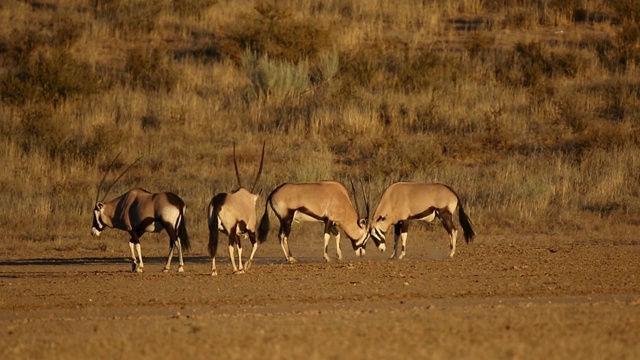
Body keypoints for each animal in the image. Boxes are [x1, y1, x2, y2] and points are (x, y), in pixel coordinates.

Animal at [208, 141, 262, 276]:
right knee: (230, 247)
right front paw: (245, 267)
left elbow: (240, 249)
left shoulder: (237, 232)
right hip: (231, 230)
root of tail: (218, 202)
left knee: (213, 245)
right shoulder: (251, 229)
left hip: (213, 229)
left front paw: (242, 268)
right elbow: (254, 245)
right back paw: (234, 270)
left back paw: (214, 271)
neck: (248, 198)